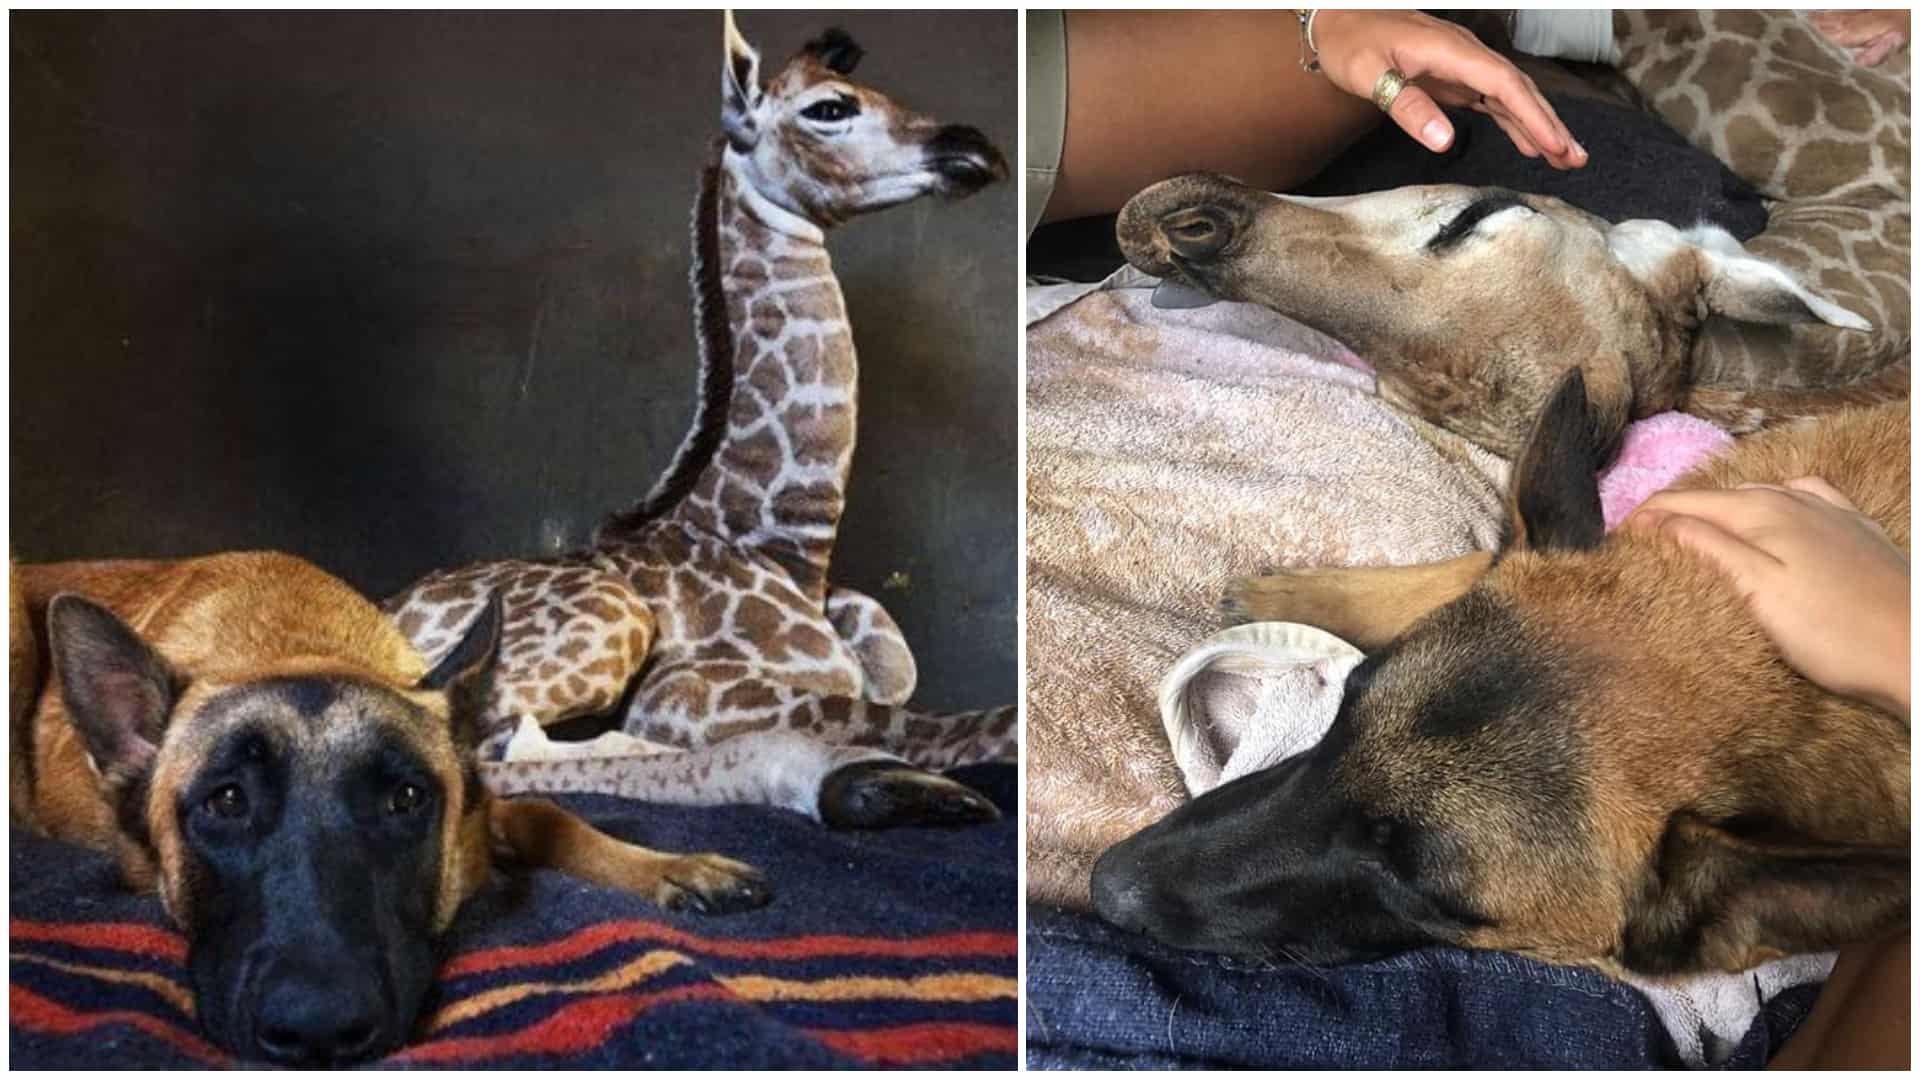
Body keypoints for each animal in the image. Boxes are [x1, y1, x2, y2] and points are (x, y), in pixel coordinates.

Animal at [385, 13, 1014, 830]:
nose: (974, 149)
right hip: (605, 621)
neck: (787, 546)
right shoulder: (680, 690)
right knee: (489, 754)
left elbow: (899, 690)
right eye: (830, 107)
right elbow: (920, 719)